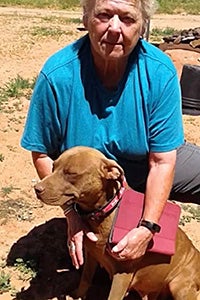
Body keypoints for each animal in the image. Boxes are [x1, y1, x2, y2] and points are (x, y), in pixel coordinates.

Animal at [34, 146, 200, 298]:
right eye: (53, 166)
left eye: (71, 174)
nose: (36, 188)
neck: (103, 212)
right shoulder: (91, 256)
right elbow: (85, 279)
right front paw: (77, 295)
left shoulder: (122, 274)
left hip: (178, 286)